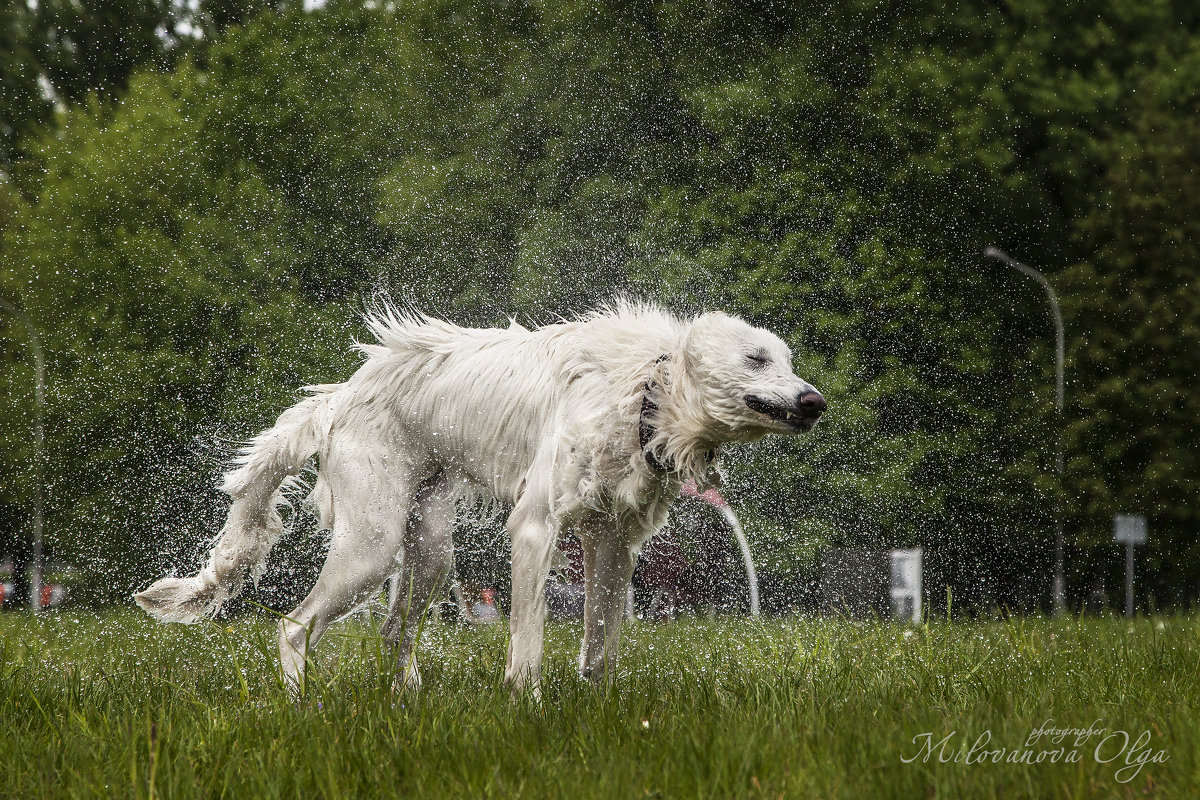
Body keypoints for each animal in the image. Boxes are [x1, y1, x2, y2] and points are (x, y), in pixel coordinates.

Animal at [133, 303, 825, 690]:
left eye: (788, 360)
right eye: (756, 359)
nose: (815, 401)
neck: (640, 389)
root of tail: (337, 397)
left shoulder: (612, 544)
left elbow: (598, 650)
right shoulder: (535, 528)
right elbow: (528, 645)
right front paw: (528, 707)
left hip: (432, 552)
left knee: (394, 632)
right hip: (372, 548)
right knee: (295, 626)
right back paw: (302, 707)